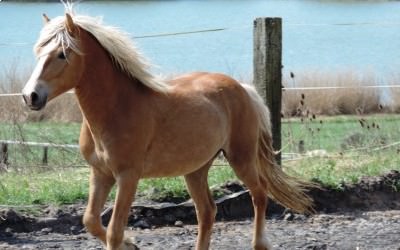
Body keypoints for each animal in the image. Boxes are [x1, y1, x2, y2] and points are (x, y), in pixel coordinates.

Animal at [21, 7, 314, 250]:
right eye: (38, 53)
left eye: (62, 54)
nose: (30, 96)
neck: (118, 107)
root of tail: (243, 88)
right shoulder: (100, 173)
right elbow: (90, 220)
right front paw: (132, 244)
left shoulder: (128, 176)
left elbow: (114, 231)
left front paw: (127, 242)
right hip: (196, 169)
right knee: (207, 211)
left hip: (241, 157)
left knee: (259, 194)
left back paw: (260, 244)